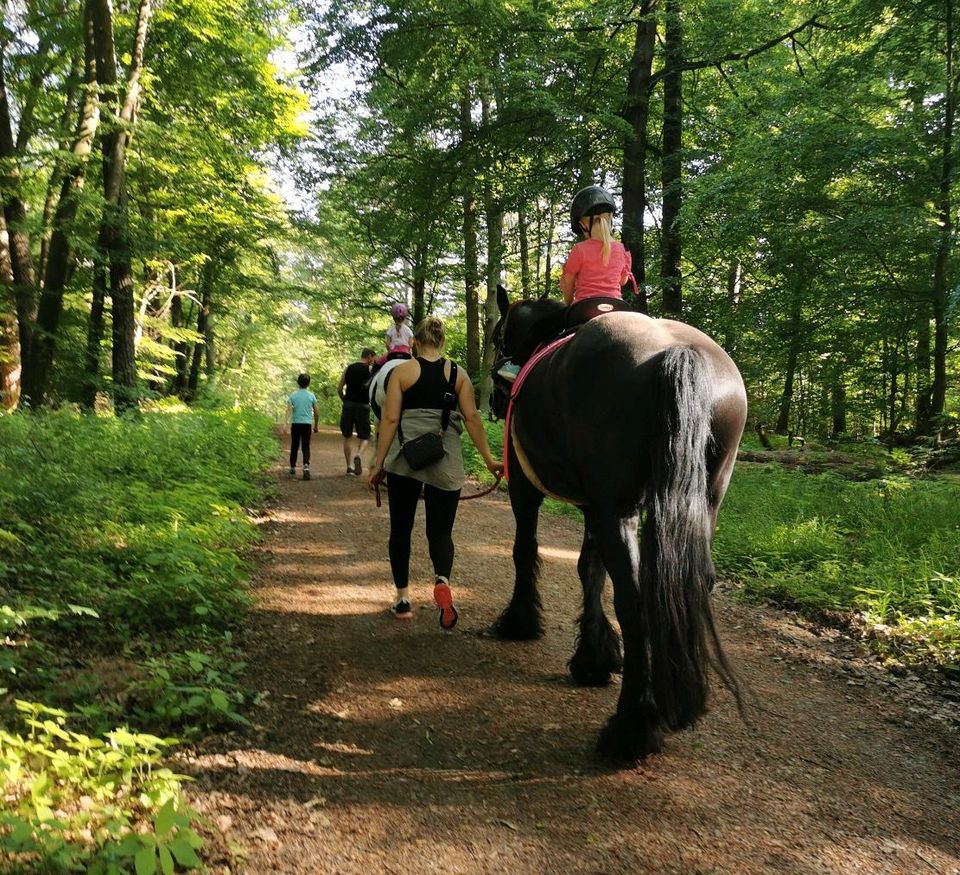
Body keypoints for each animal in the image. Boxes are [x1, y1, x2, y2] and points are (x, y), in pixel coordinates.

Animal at [492, 290, 748, 768]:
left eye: (499, 337)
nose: (496, 399)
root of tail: (673, 352)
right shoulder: (596, 505)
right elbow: (589, 570)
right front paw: (595, 656)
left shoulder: (527, 487)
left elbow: (525, 550)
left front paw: (521, 621)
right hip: (704, 500)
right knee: (689, 584)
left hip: (618, 508)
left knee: (634, 599)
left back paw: (632, 726)